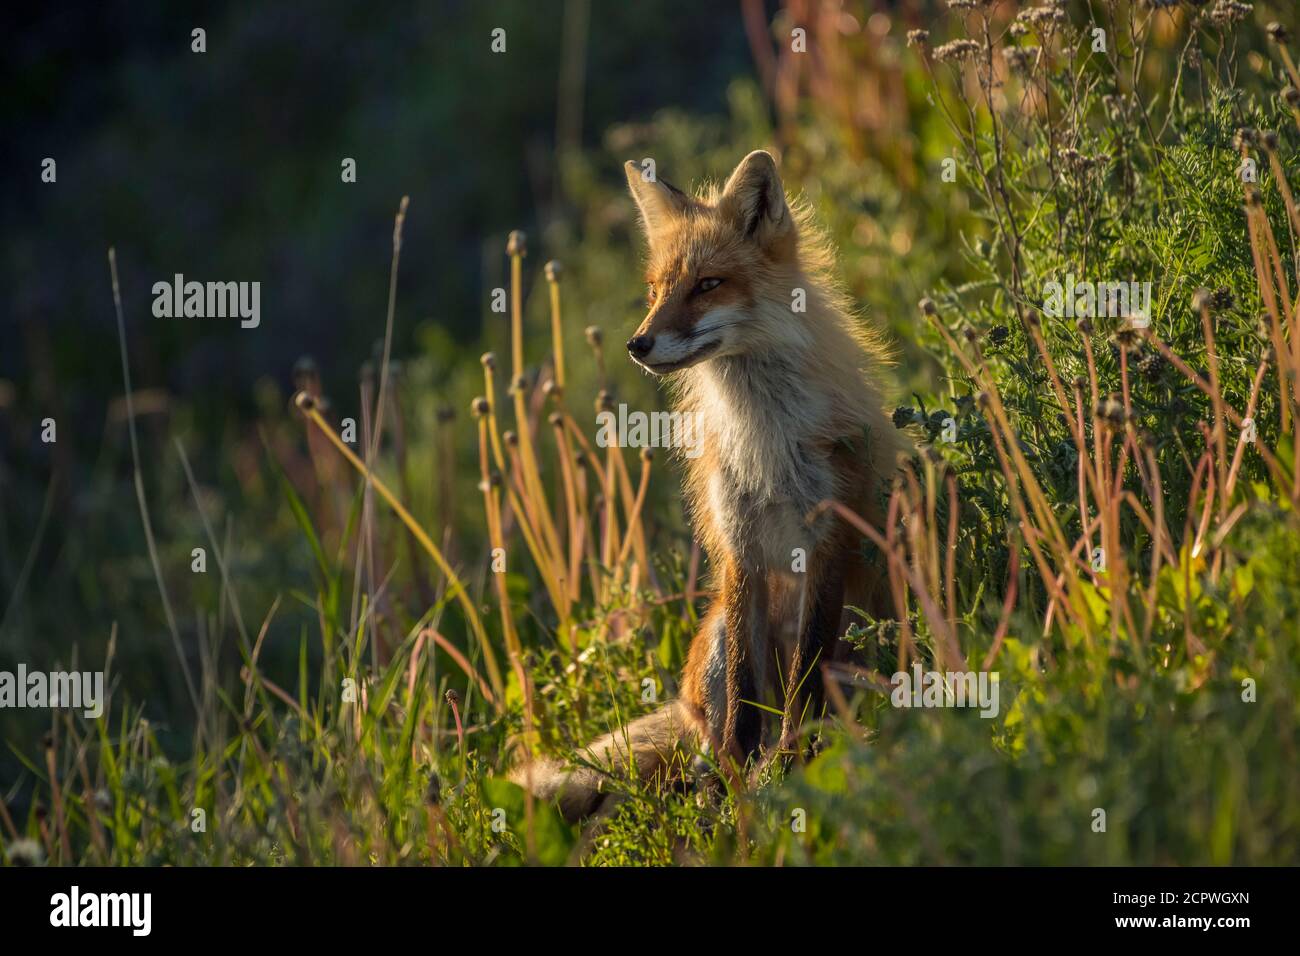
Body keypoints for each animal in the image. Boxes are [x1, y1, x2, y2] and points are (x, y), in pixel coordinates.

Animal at [509, 149, 904, 822]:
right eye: (655, 291)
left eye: (707, 285)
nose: (637, 343)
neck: (765, 441)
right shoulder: (738, 546)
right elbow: (743, 712)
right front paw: (741, 790)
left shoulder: (827, 540)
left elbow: (804, 683)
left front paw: (789, 767)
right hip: (717, 630)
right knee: (710, 729)